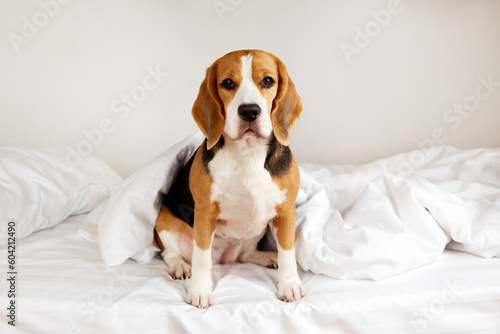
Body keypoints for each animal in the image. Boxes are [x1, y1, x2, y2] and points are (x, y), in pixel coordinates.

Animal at [156, 49, 302, 308]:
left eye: (268, 81)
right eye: (228, 83)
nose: (249, 111)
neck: (248, 152)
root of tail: (224, 258)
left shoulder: (286, 211)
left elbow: (288, 252)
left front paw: (289, 284)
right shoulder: (204, 213)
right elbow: (201, 257)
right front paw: (200, 291)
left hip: (255, 232)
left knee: (245, 255)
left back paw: (266, 257)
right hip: (164, 222)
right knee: (170, 253)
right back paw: (180, 266)